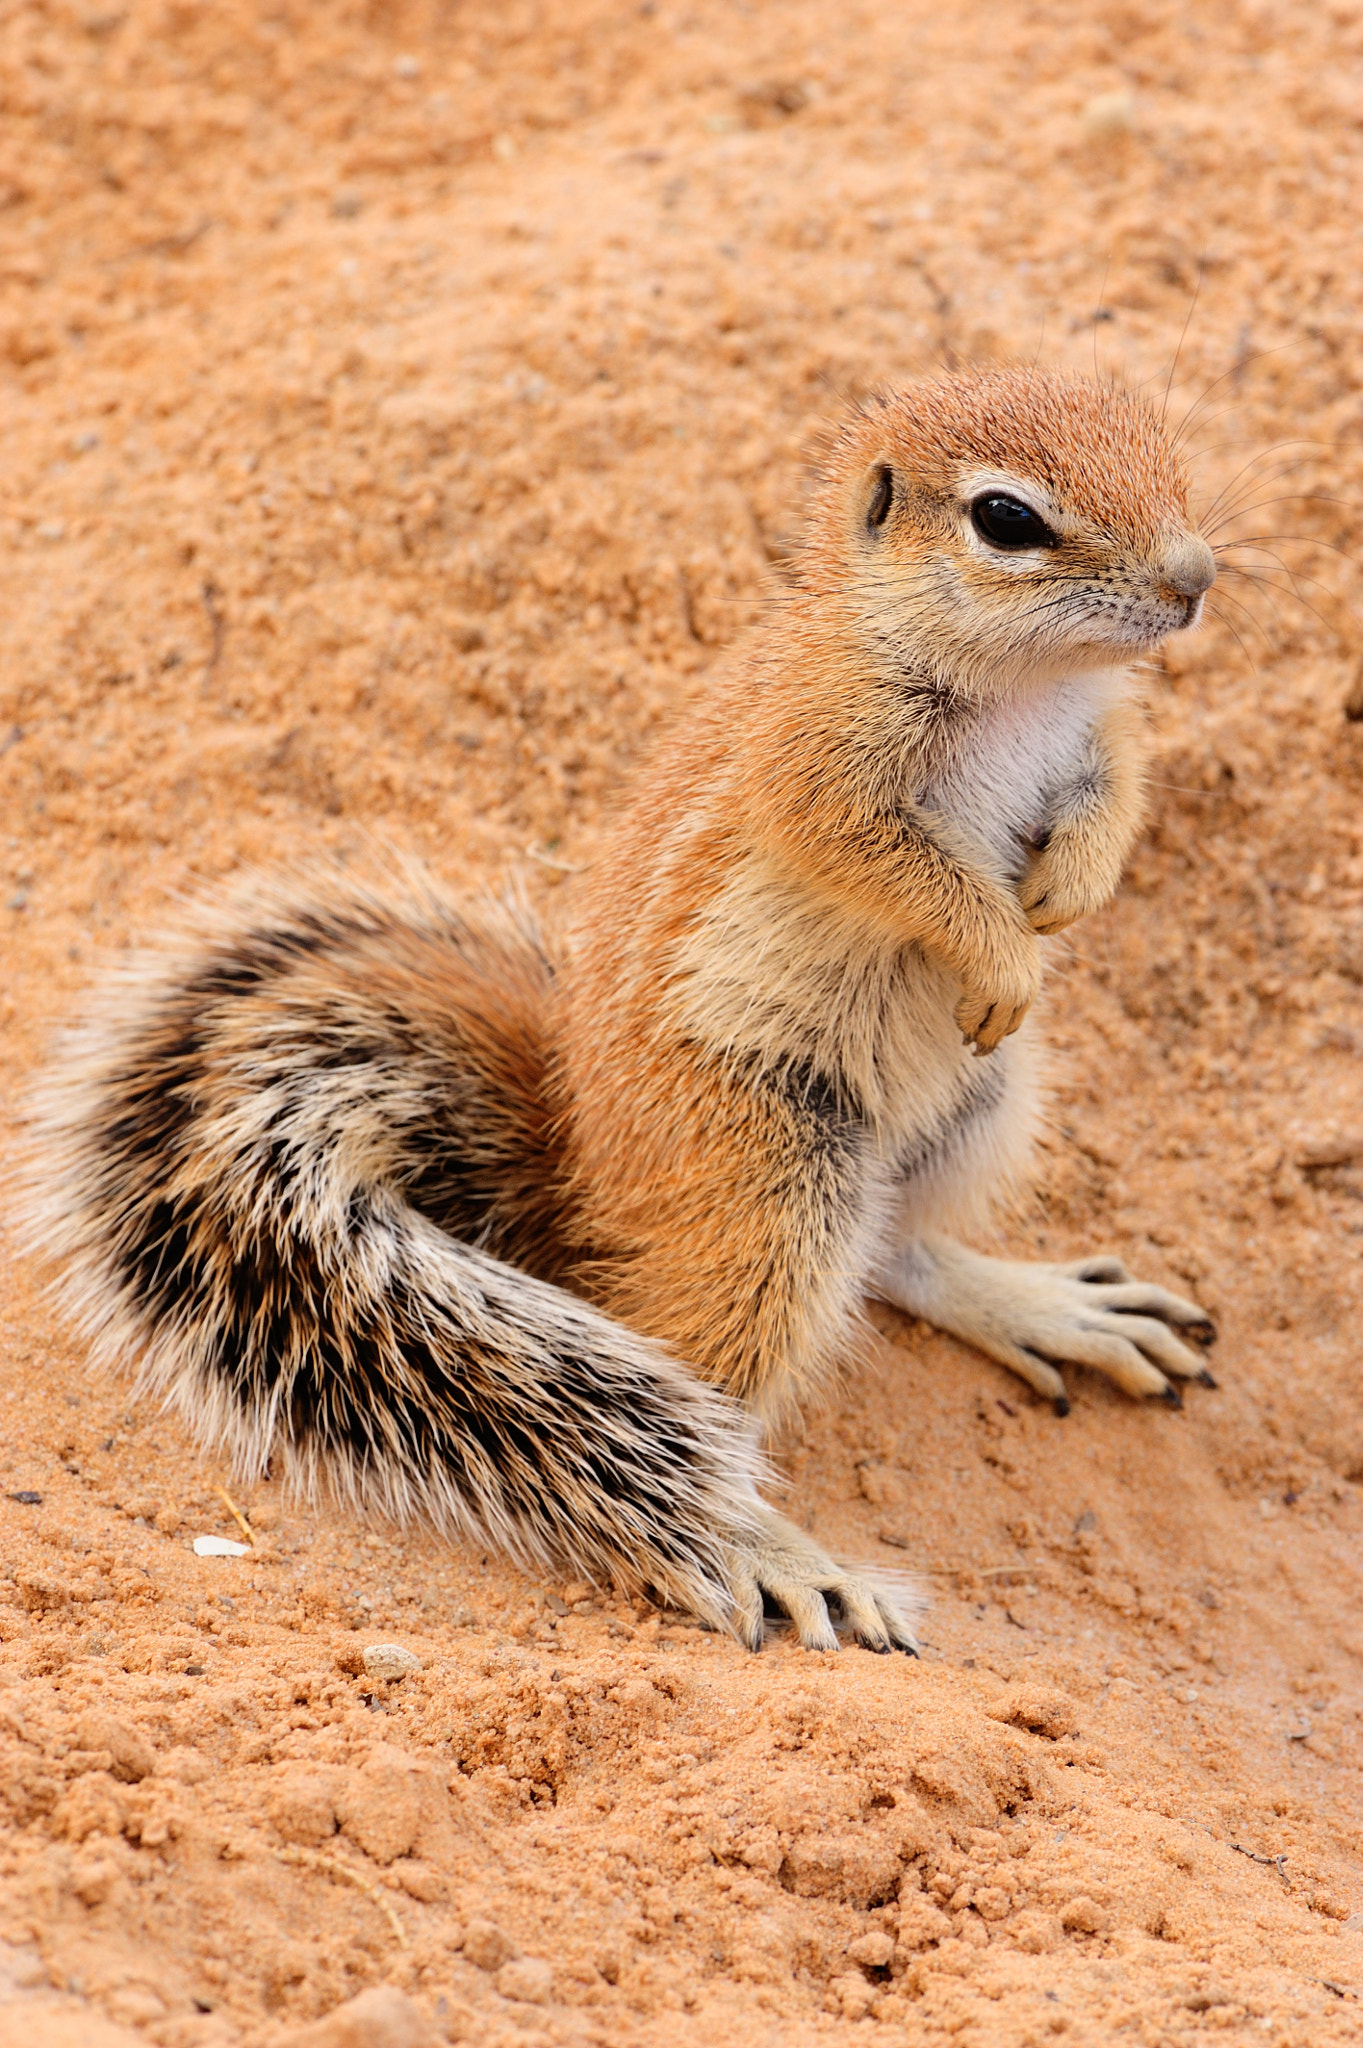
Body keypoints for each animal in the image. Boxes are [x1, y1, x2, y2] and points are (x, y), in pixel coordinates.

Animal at [31, 364, 1211, 1646]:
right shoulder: (821, 766)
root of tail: (573, 1168)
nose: (1195, 578)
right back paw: (768, 1545)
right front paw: (1002, 949)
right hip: (770, 1187)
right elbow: (894, 868)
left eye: (1162, 442)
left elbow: (1117, 793)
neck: (1027, 689)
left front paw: (1068, 890)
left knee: (898, 1250)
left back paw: (1042, 1303)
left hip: (982, 1108)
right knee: (705, 1387)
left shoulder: (1103, 734)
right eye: (1005, 518)